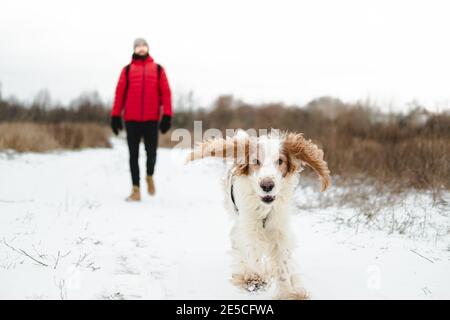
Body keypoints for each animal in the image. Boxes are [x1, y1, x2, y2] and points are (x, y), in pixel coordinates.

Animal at [186, 130, 330, 300]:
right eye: (255, 161)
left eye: (280, 161)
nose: (267, 185)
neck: (264, 209)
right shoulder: (249, 228)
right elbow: (252, 256)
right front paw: (254, 278)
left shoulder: (279, 231)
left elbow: (283, 264)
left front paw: (288, 292)